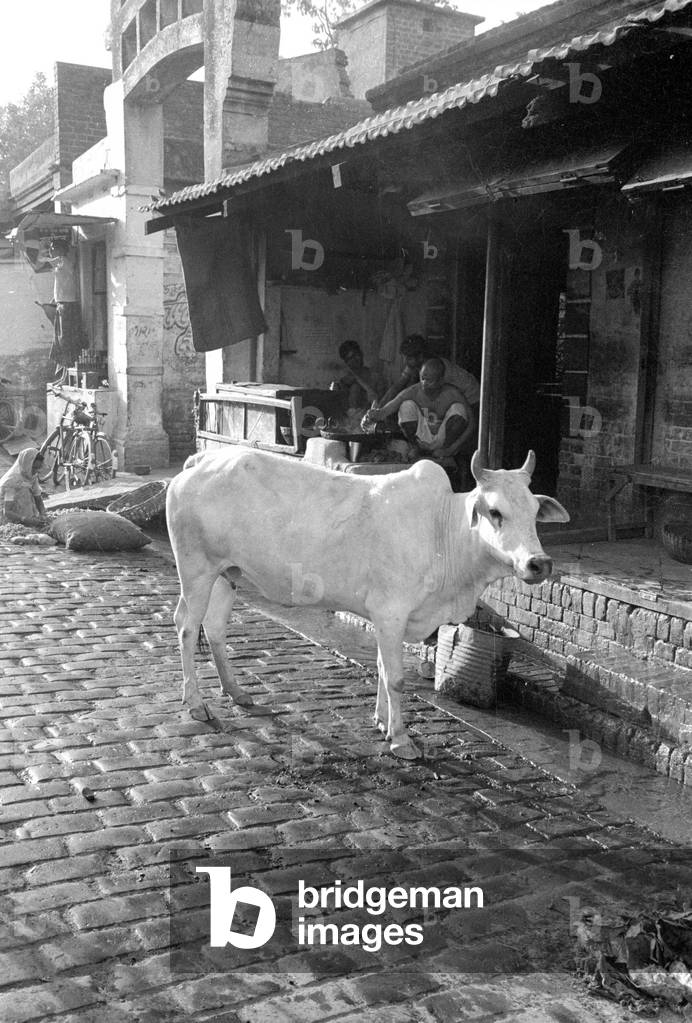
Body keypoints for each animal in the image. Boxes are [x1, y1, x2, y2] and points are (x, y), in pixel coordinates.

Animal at [166, 447, 569, 760]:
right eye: (496, 512)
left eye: (535, 513)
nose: (539, 563)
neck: (440, 531)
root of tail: (200, 461)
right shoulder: (391, 613)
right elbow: (396, 678)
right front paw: (402, 740)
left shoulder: (384, 616)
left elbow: (380, 667)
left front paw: (382, 723)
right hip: (197, 572)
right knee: (186, 626)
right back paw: (196, 703)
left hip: (226, 575)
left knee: (214, 630)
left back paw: (235, 692)